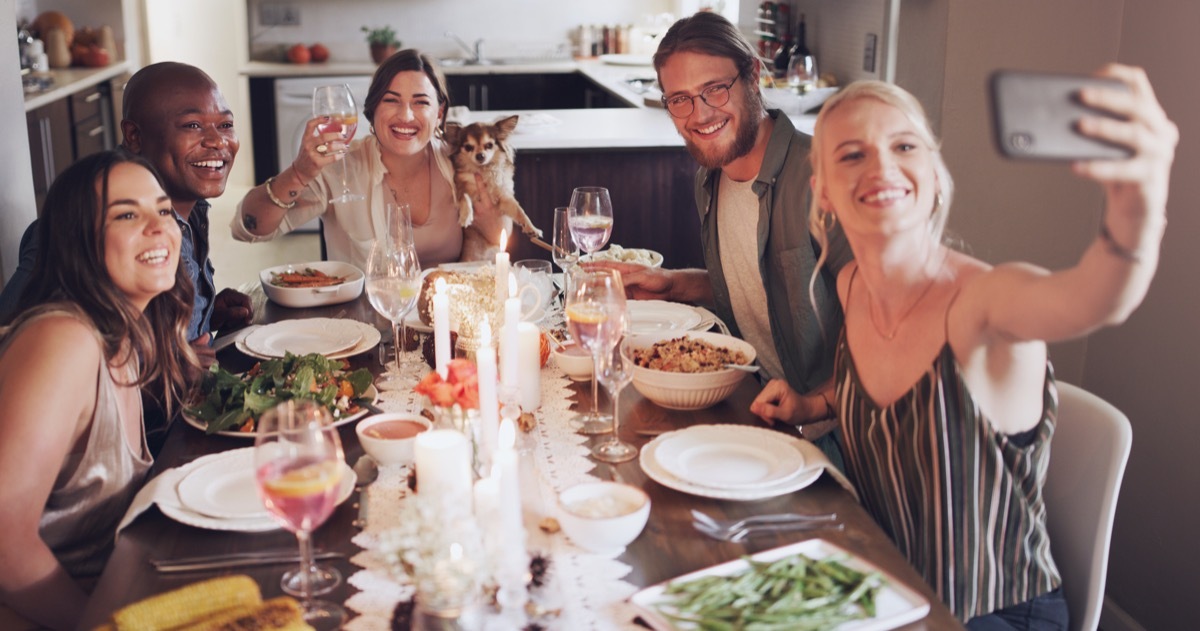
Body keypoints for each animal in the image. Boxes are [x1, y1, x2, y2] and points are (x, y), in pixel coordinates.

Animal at [444, 115, 542, 261]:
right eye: (468, 147)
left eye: (489, 145)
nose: (480, 155)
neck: (484, 170)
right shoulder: (460, 187)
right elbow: (465, 198)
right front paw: (466, 216)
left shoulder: (504, 196)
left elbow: (519, 210)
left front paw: (531, 227)